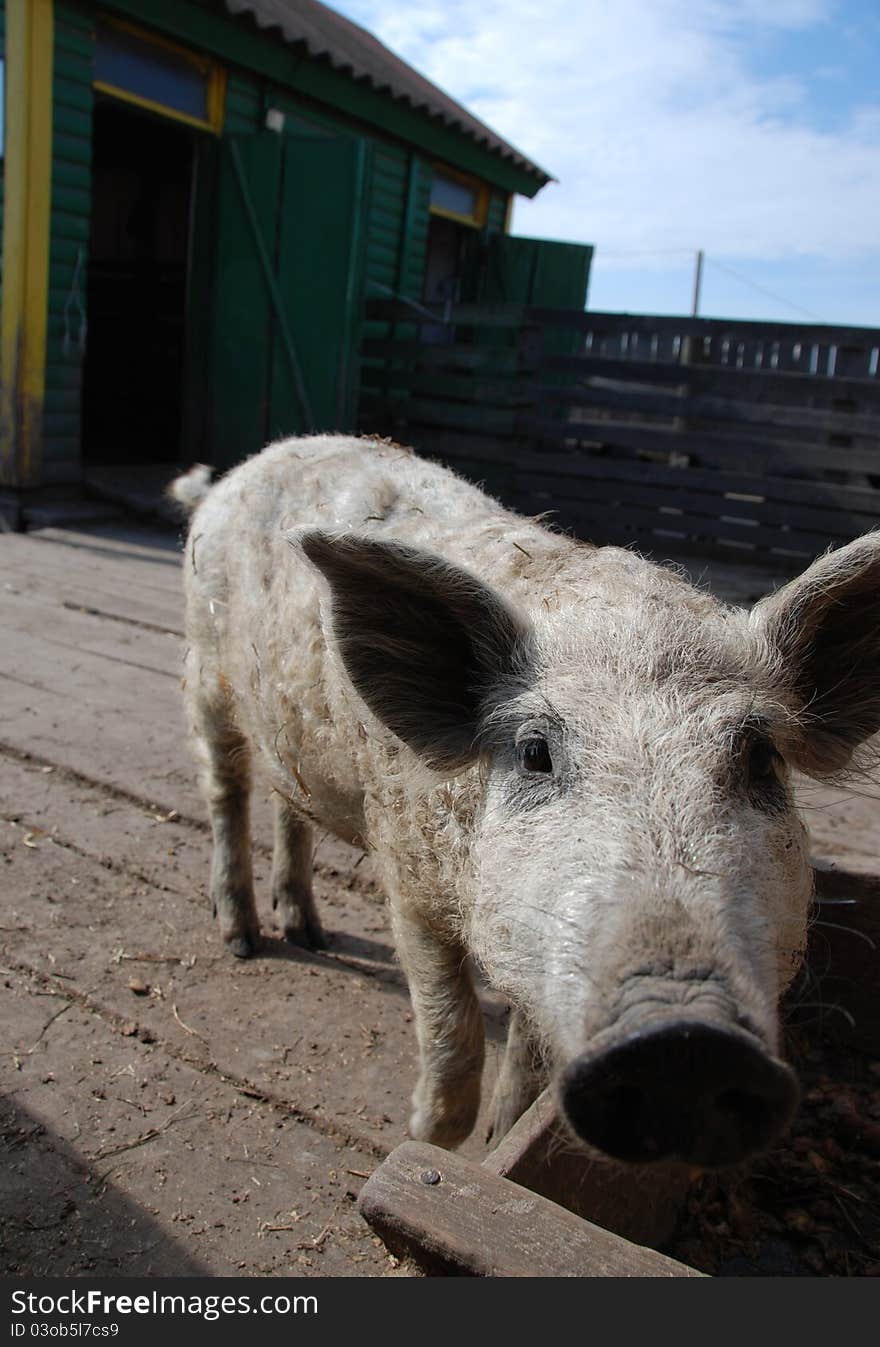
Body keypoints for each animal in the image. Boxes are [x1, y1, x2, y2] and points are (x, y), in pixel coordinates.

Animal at [169, 433, 878, 1169]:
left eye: (760, 756)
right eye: (535, 751)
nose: (684, 1042)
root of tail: (237, 474)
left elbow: (528, 1069)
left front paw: (494, 1149)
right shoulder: (409, 877)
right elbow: (454, 1040)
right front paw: (418, 1143)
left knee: (289, 804)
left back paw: (306, 930)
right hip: (205, 670)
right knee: (226, 790)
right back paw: (244, 939)